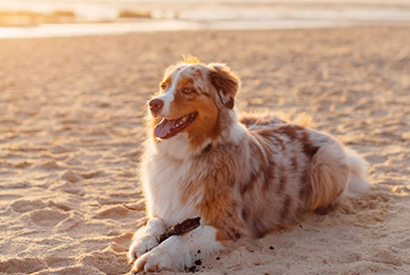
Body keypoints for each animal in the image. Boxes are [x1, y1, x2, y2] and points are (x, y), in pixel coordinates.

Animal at [126, 56, 370, 274]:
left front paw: (155, 256)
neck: (186, 155)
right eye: (163, 86)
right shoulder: (163, 207)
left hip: (326, 165)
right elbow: (153, 223)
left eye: (188, 90)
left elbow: (182, 237)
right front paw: (143, 242)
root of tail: (306, 127)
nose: (153, 103)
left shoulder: (230, 227)